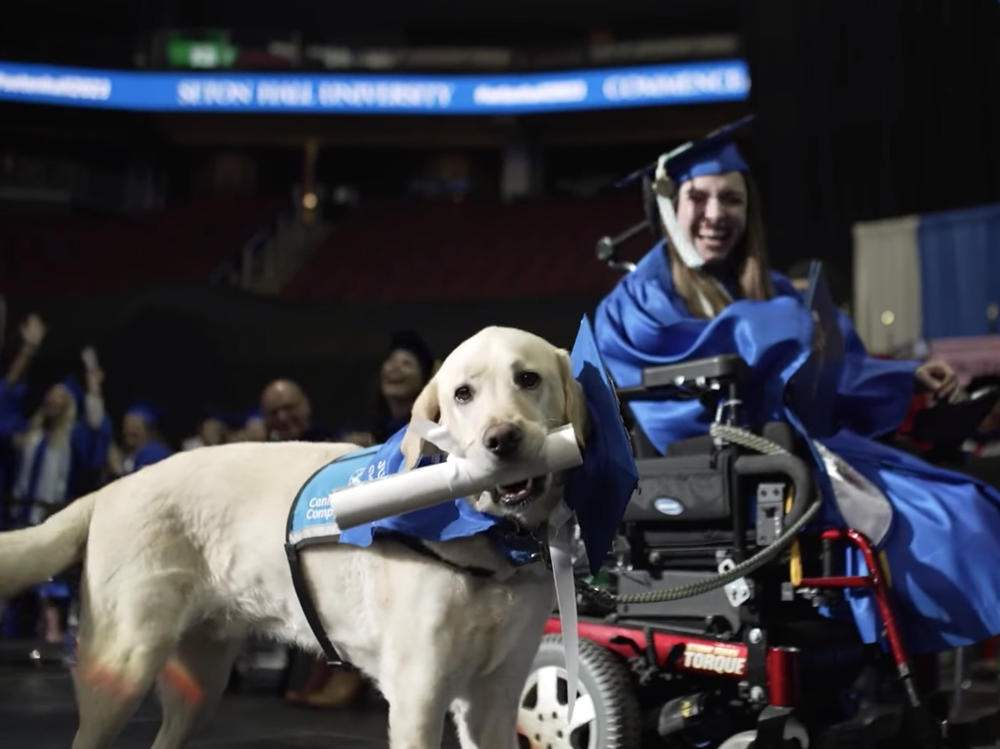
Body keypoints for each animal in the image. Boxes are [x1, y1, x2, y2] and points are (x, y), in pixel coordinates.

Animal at [0, 326, 584, 748]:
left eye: (528, 379)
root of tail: (111, 487)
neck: (490, 542)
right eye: (463, 394)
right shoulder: (418, 695)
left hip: (198, 687)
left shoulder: (495, 698)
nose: (501, 439)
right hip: (121, 668)